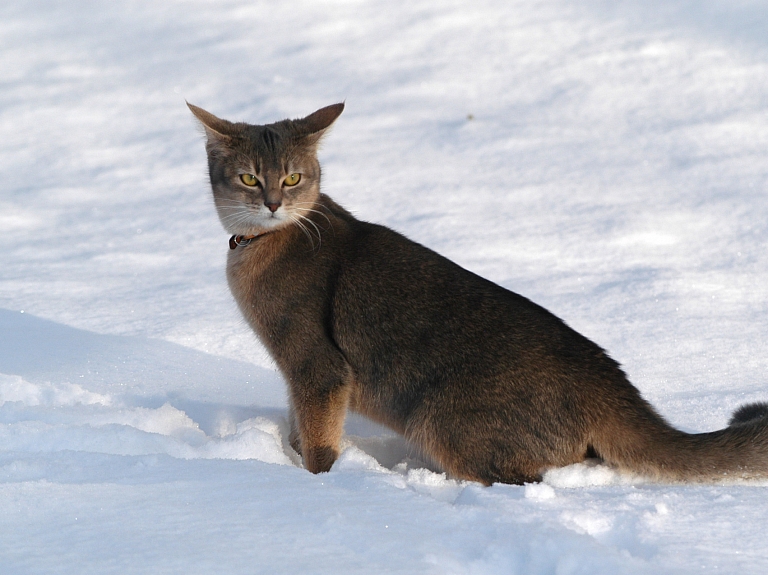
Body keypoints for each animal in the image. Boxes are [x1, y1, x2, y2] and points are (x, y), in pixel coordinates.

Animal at [188, 101, 768, 484]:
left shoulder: (318, 367)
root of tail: (610, 382)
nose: (271, 203)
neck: (261, 246)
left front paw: (316, 484)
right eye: (248, 177)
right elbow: (297, 425)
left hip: (439, 420)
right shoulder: (298, 373)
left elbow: (319, 441)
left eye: (291, 178)